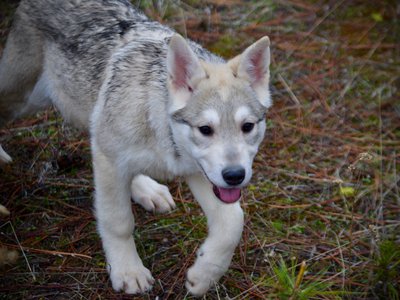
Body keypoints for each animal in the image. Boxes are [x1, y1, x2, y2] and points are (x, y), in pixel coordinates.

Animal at [0, 0, 272, 296]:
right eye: (205, 130)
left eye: (247, 126)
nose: (235, 176)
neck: (162, 128)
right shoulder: (108, 159)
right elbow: (118, 222)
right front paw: (128, 271)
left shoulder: (197, 171)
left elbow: (233, 223)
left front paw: (203, 276)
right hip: (25, 99)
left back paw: (148, 190)